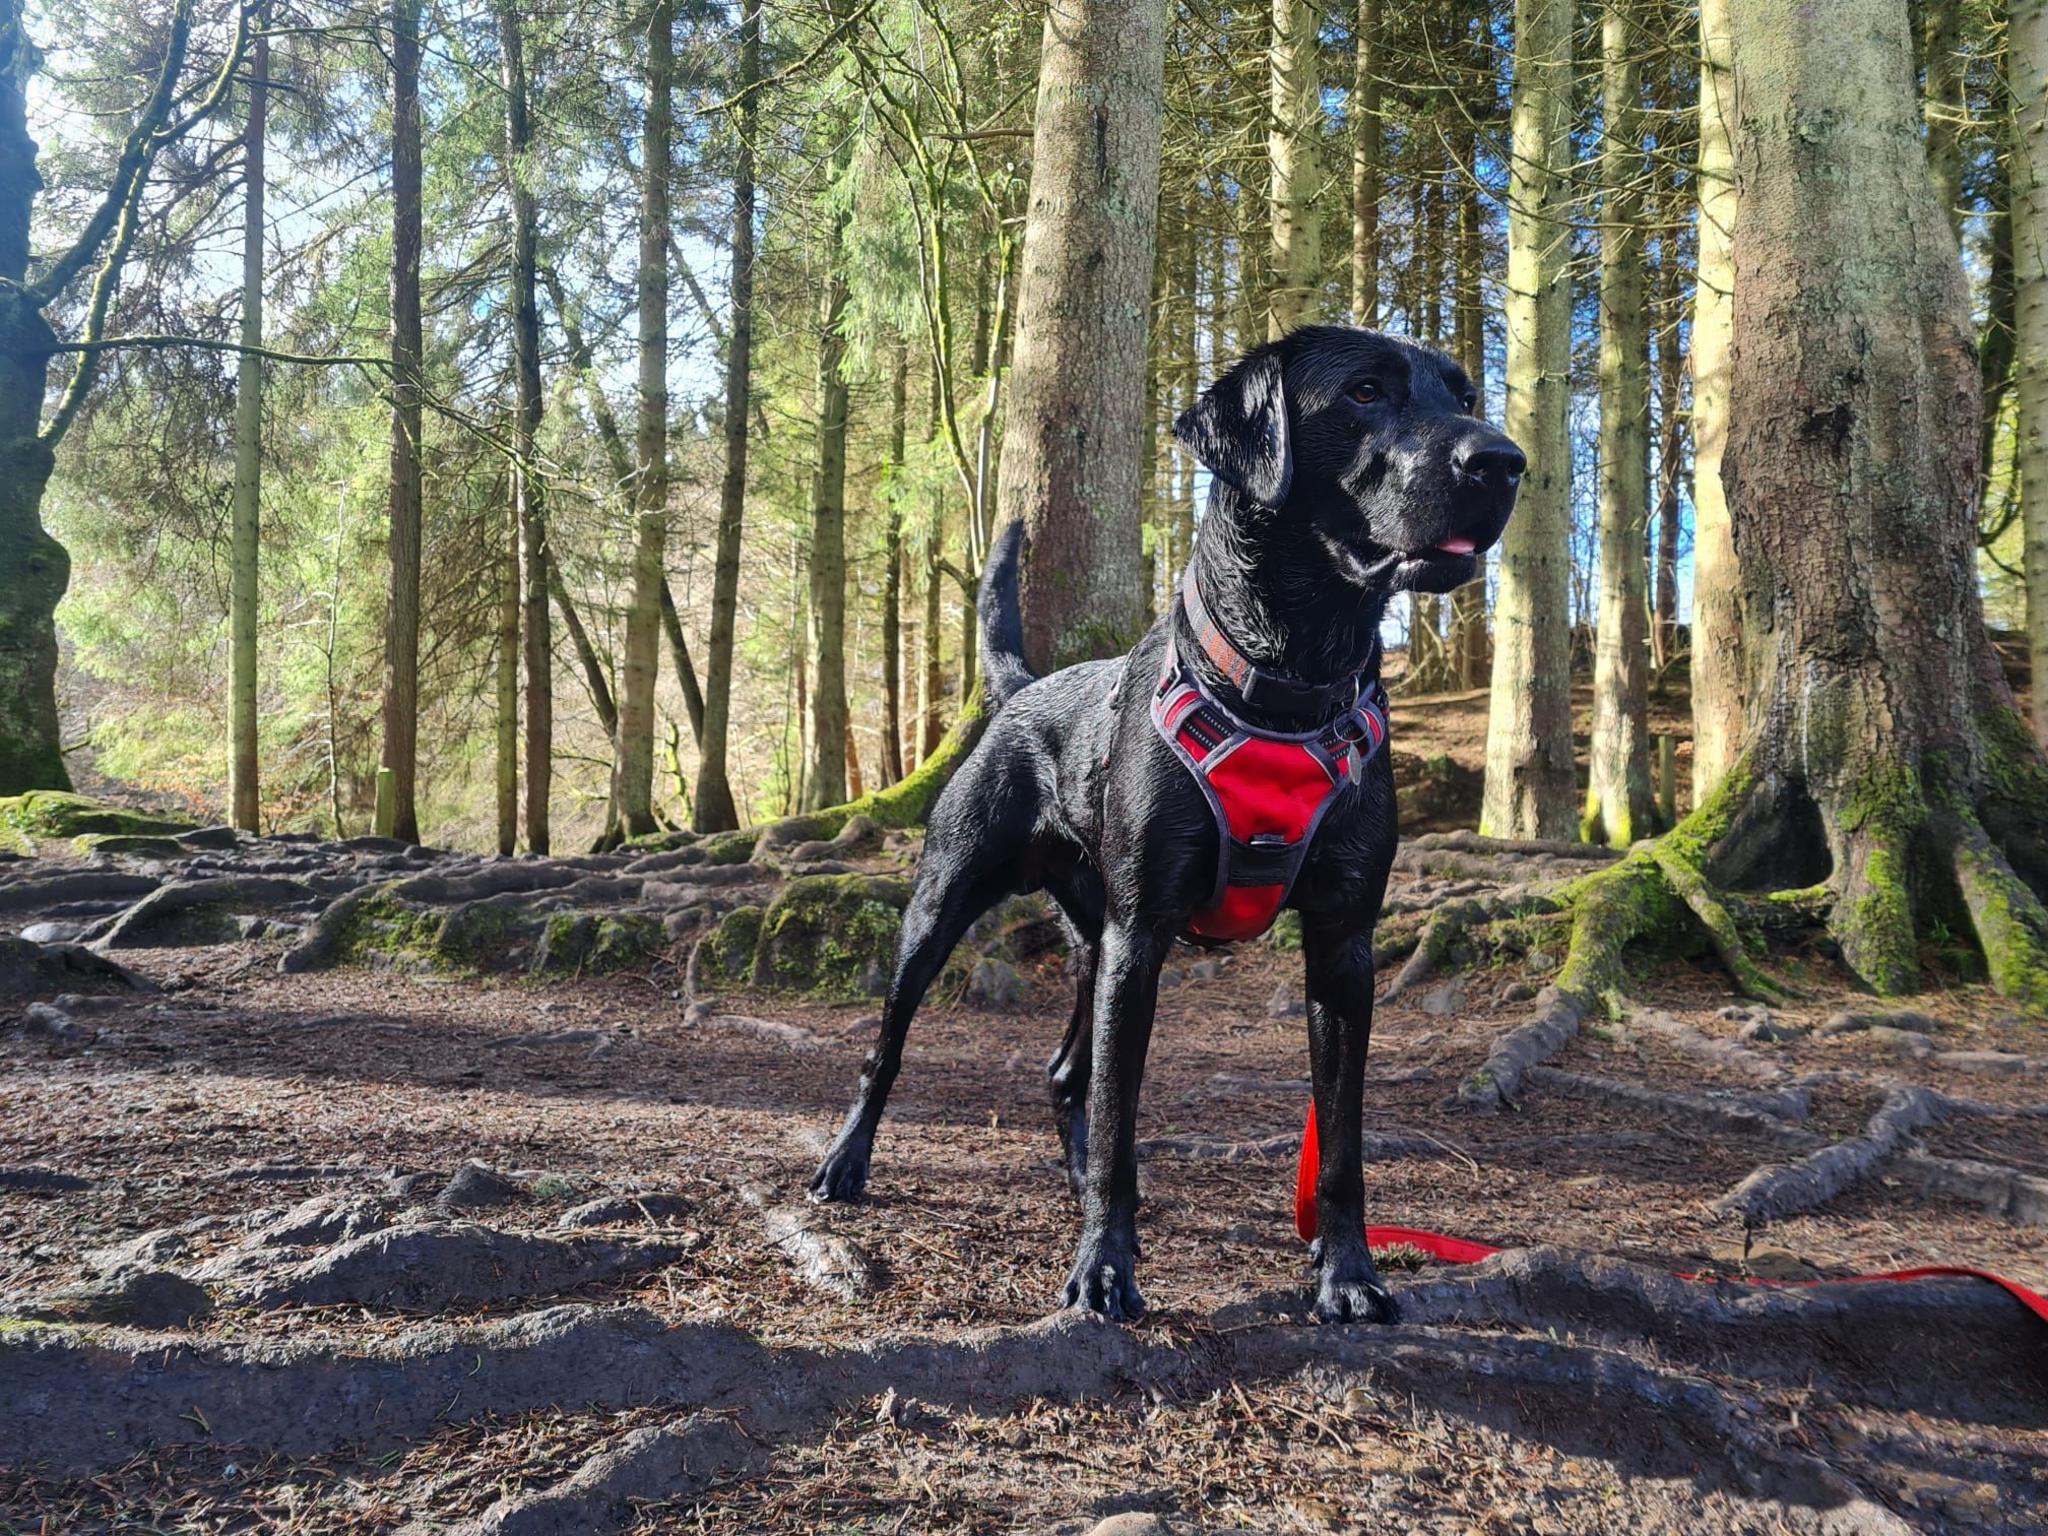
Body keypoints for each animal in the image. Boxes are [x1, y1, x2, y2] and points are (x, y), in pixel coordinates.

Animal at [806, 321, 1531, 1327]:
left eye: (1464, 395)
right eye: (1365, 393)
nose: (1503, 460)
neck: (1284, 684)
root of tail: (1023, 692)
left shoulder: (1342, 946)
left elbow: (1341, 1145)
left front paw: (1348, 1274)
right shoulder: (1141, 940)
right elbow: (1121, 1118)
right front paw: (1104, 1270)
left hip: (1089, 945)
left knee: (1065, 1076)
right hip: (952, 907)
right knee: (891, 1050)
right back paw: (847, 1162)